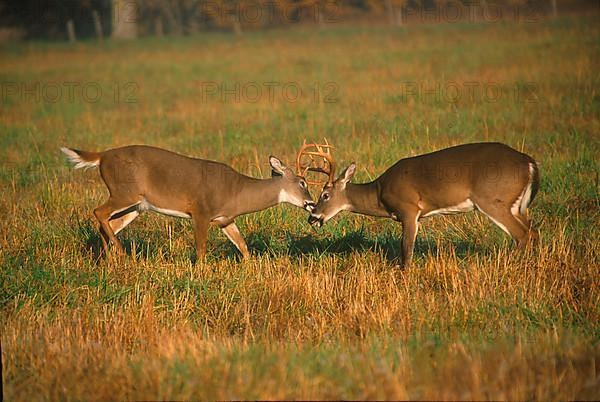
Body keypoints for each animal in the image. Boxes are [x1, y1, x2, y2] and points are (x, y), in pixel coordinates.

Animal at [61, 144, 316, 258]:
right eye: (303, 183)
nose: (311, 205)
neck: (236, 191)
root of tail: (102, 156)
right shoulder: (201, 211)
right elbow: (201, 249)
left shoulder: (225, 219)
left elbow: (243, 246)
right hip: (124, 192)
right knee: (98, 212)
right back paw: (121, 253)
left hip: (137, 205)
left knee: (108, 224)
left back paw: (109, 260)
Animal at [304, 141, 540, 266]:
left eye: (325, 195)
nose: (312, 217)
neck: (380, 192)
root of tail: (529, 163)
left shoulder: (409, 208)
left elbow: (406, 248)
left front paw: (404, 275)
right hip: (517, 205)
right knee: (533, 231)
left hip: (492, 200)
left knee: (522, 234)